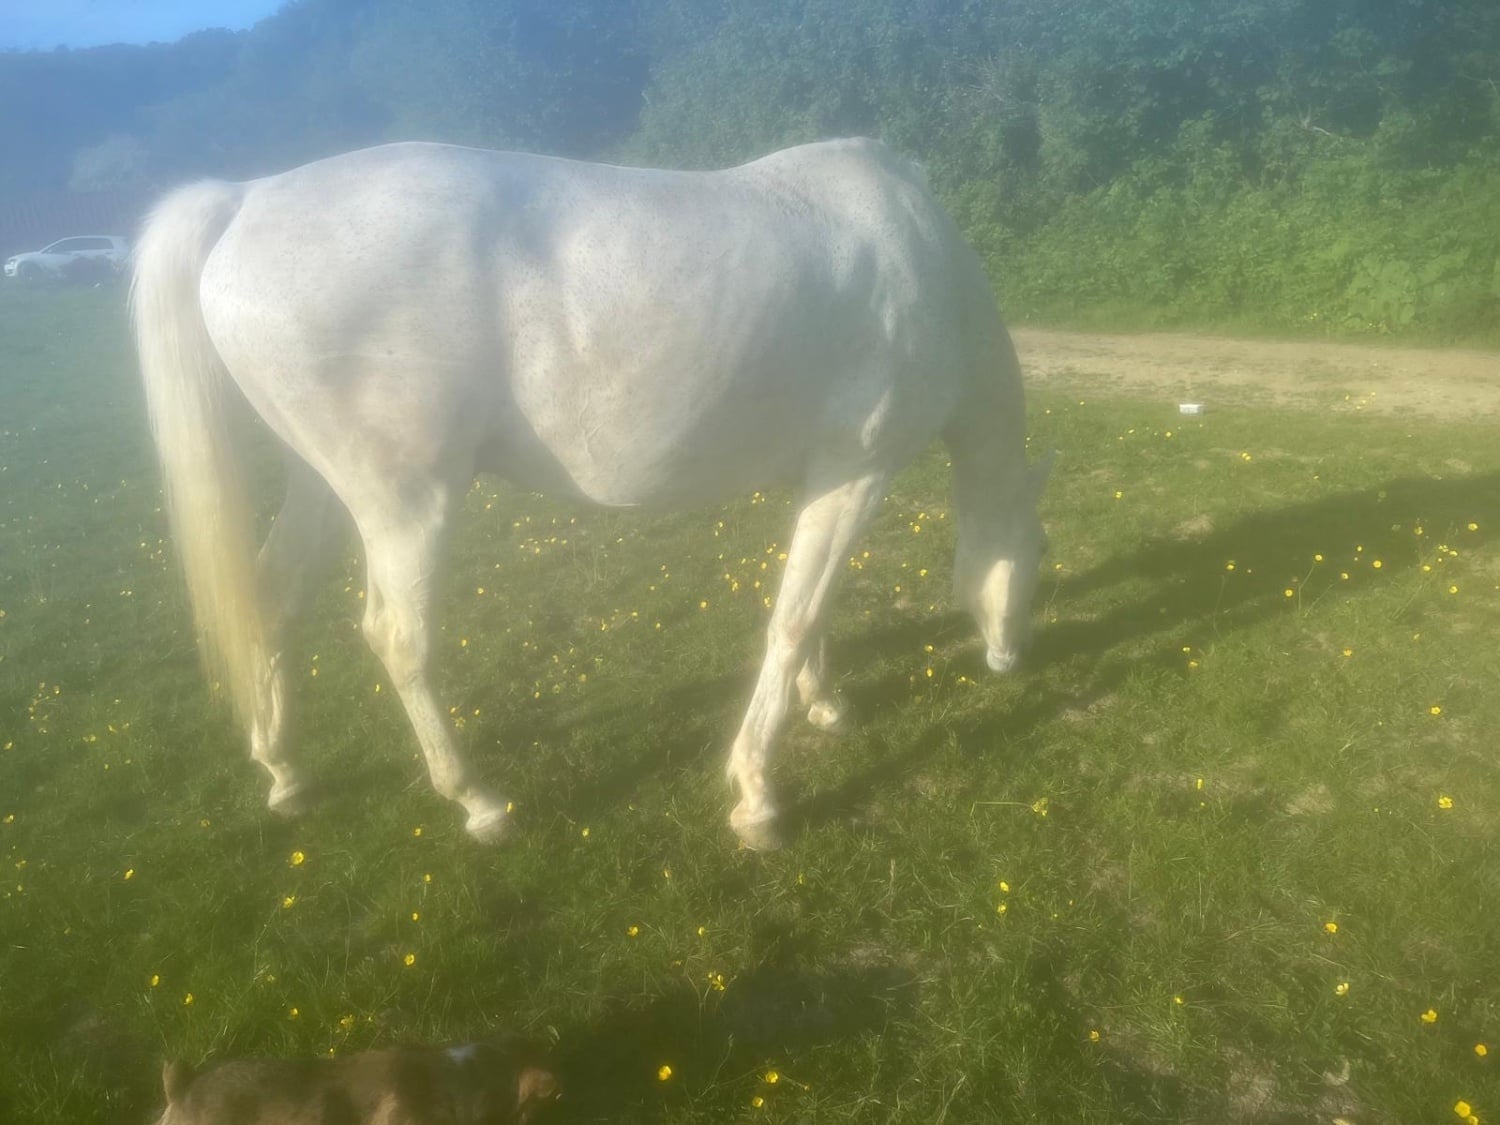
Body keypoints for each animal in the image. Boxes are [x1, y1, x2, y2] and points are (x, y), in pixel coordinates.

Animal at [131, 137, 1050, 849]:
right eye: (1040, 558)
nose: (1012, 657)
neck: (919, 258)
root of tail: (249, 197)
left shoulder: (821, 478)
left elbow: (811, 611)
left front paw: (825, 705)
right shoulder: (859, 471)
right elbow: (792, 620)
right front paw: (757, 794)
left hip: (324, 490)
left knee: (273, 599)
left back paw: (285, 770)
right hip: (404, 504)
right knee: (398, 638)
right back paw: (478, 800)